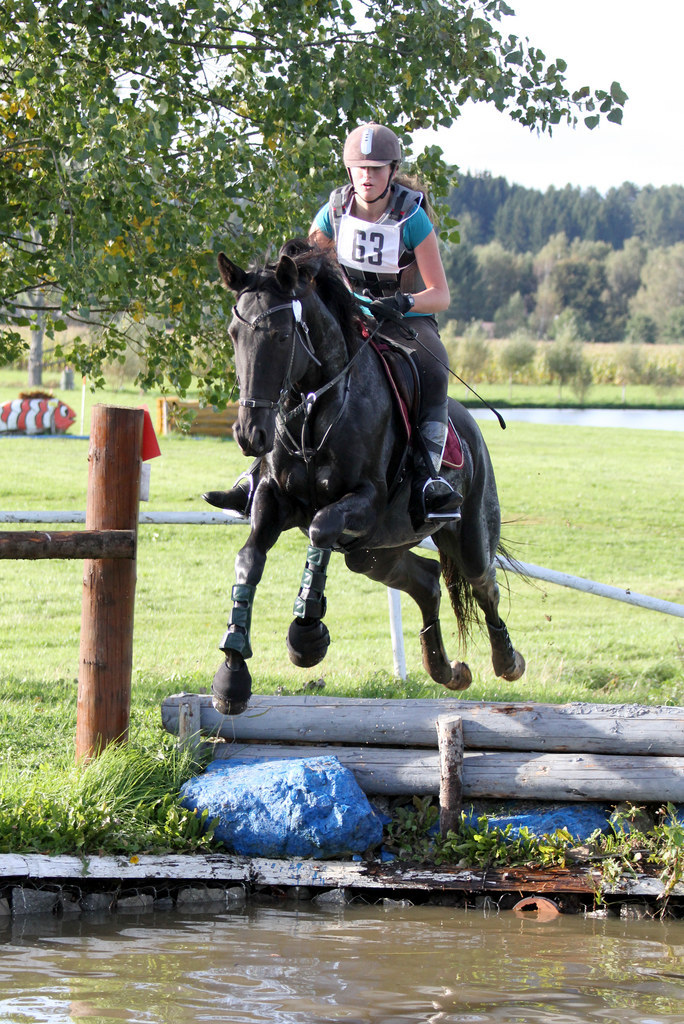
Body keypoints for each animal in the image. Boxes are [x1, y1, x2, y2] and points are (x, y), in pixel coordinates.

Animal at [209, 242, 525, 715]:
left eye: (282, 337)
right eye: (234, 334)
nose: (250, 435)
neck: (314, 412)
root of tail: (471, 426)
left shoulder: (366, 500)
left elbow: (320, 529)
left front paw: (306, 635)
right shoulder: (274, 498)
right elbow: (250, 558)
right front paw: (231, 672)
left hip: (466, 533)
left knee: (484, 584)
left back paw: (507, 659)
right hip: (374, 552)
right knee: (427, 581)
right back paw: (446, 670)